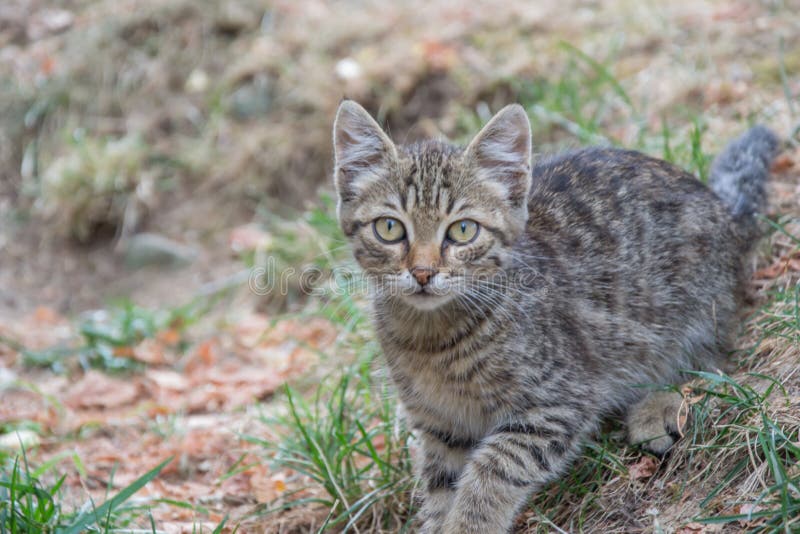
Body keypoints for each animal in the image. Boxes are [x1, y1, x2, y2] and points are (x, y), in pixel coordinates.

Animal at [330, 98, 776, 532]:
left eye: (462, 231)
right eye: (390, 228)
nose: (423, 273)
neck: (431, 339)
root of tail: (724, 209)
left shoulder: (559, 400)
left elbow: (494, 469)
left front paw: (469, 523)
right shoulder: (441, 428)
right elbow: (441, 488)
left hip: (687, 314)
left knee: (710, 364)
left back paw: (656, 408)